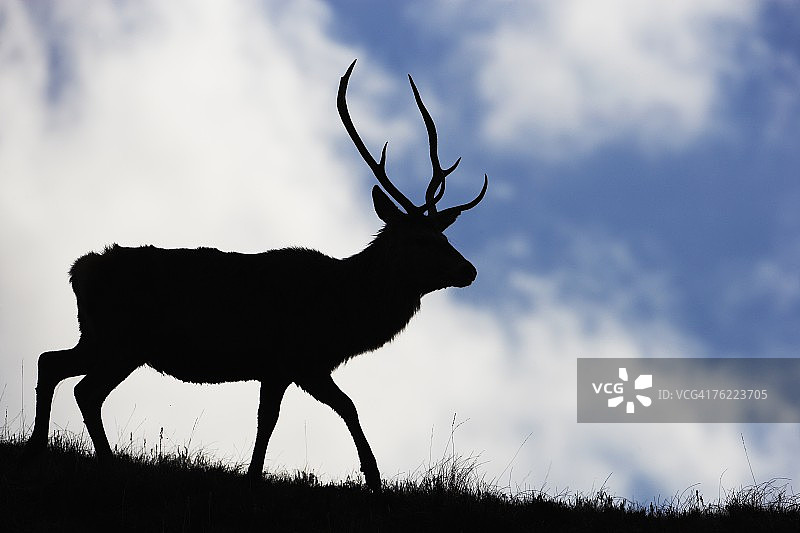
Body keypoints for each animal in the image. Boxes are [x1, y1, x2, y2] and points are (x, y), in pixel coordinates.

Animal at [22, 59, 487, 492]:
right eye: (421, 241)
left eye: (444, 236)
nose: (469, 270)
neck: (341, 313)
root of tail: (78, 270)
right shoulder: (294, 358)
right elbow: (322, 410)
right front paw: (369, 476)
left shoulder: (290, 366)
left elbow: (298, 413)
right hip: (123, 339)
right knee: (85, 389)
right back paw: (103, 461)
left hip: (98, 336)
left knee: (52, 363)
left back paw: (39, 446)